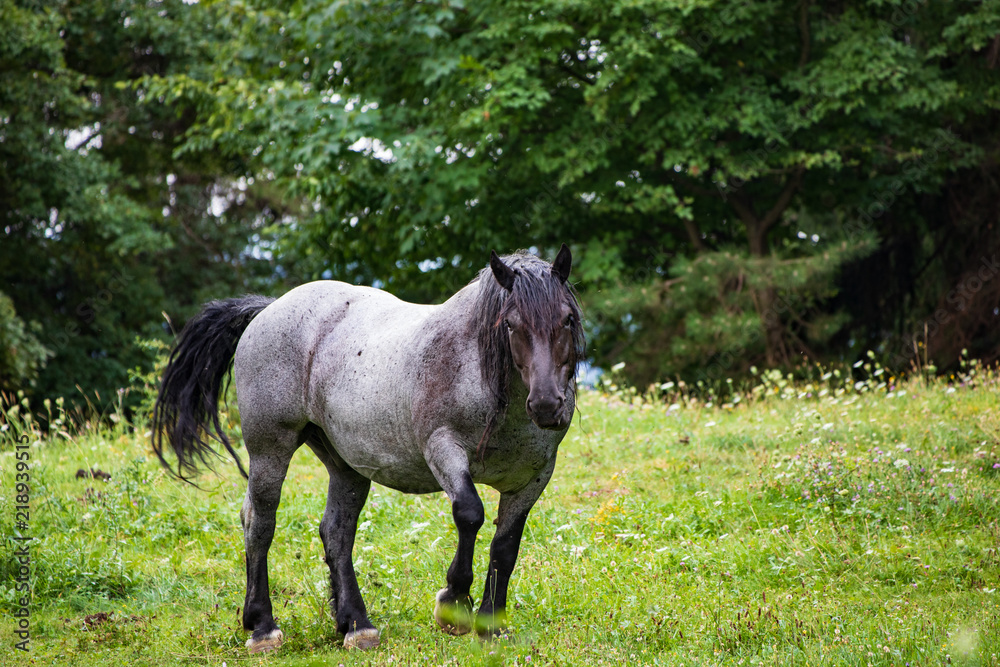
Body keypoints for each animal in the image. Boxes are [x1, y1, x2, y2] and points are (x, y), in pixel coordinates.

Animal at [151, 247, 584, 652]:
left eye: (567, 319)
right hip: (269, 448)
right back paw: (262, 626)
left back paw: (356, 625)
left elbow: (505, 547)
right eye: (510, 323)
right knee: (260, 523)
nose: (547, 405)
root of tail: (269, 308)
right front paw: (453, 605)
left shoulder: (532, 479)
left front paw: (491, 625)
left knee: (336, 532)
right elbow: (470, 514)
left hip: (345, 464)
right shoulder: (443, 449)